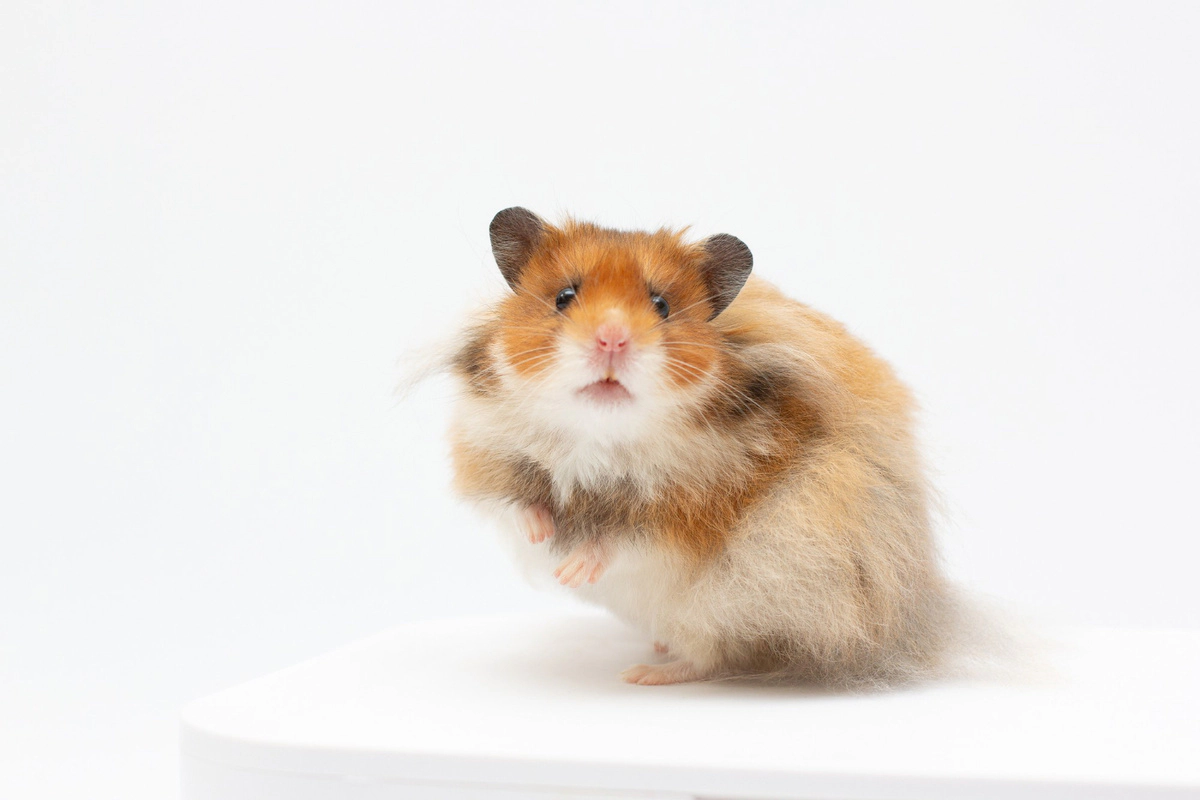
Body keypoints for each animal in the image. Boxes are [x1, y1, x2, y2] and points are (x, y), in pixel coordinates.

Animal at [447, 207, 954, 686]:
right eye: (563, 297)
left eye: (662, 305)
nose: (612, 339)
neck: (600, 434)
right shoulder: (489, 459)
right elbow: (517, 504)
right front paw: (543, 536)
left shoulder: (696, 516)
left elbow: (627, 538)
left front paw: (572, 569)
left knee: (713, 657)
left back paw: (646, 673)